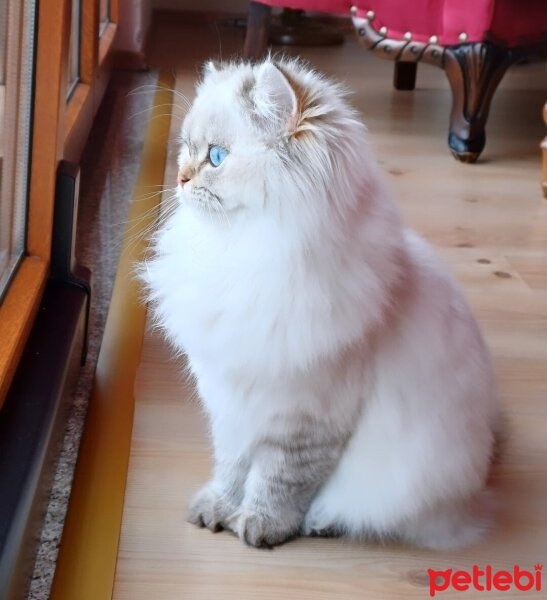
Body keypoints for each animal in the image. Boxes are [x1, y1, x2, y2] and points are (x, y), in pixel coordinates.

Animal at [142, 58, 500, 552]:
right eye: (185, 150)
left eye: (215, 157)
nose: (180, 179)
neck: (242, 253)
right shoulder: (231, 404)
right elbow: (231, 470)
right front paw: (216, 510)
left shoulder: (305, 418)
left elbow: (278, 482)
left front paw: (260, 526)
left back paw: (320, 522)